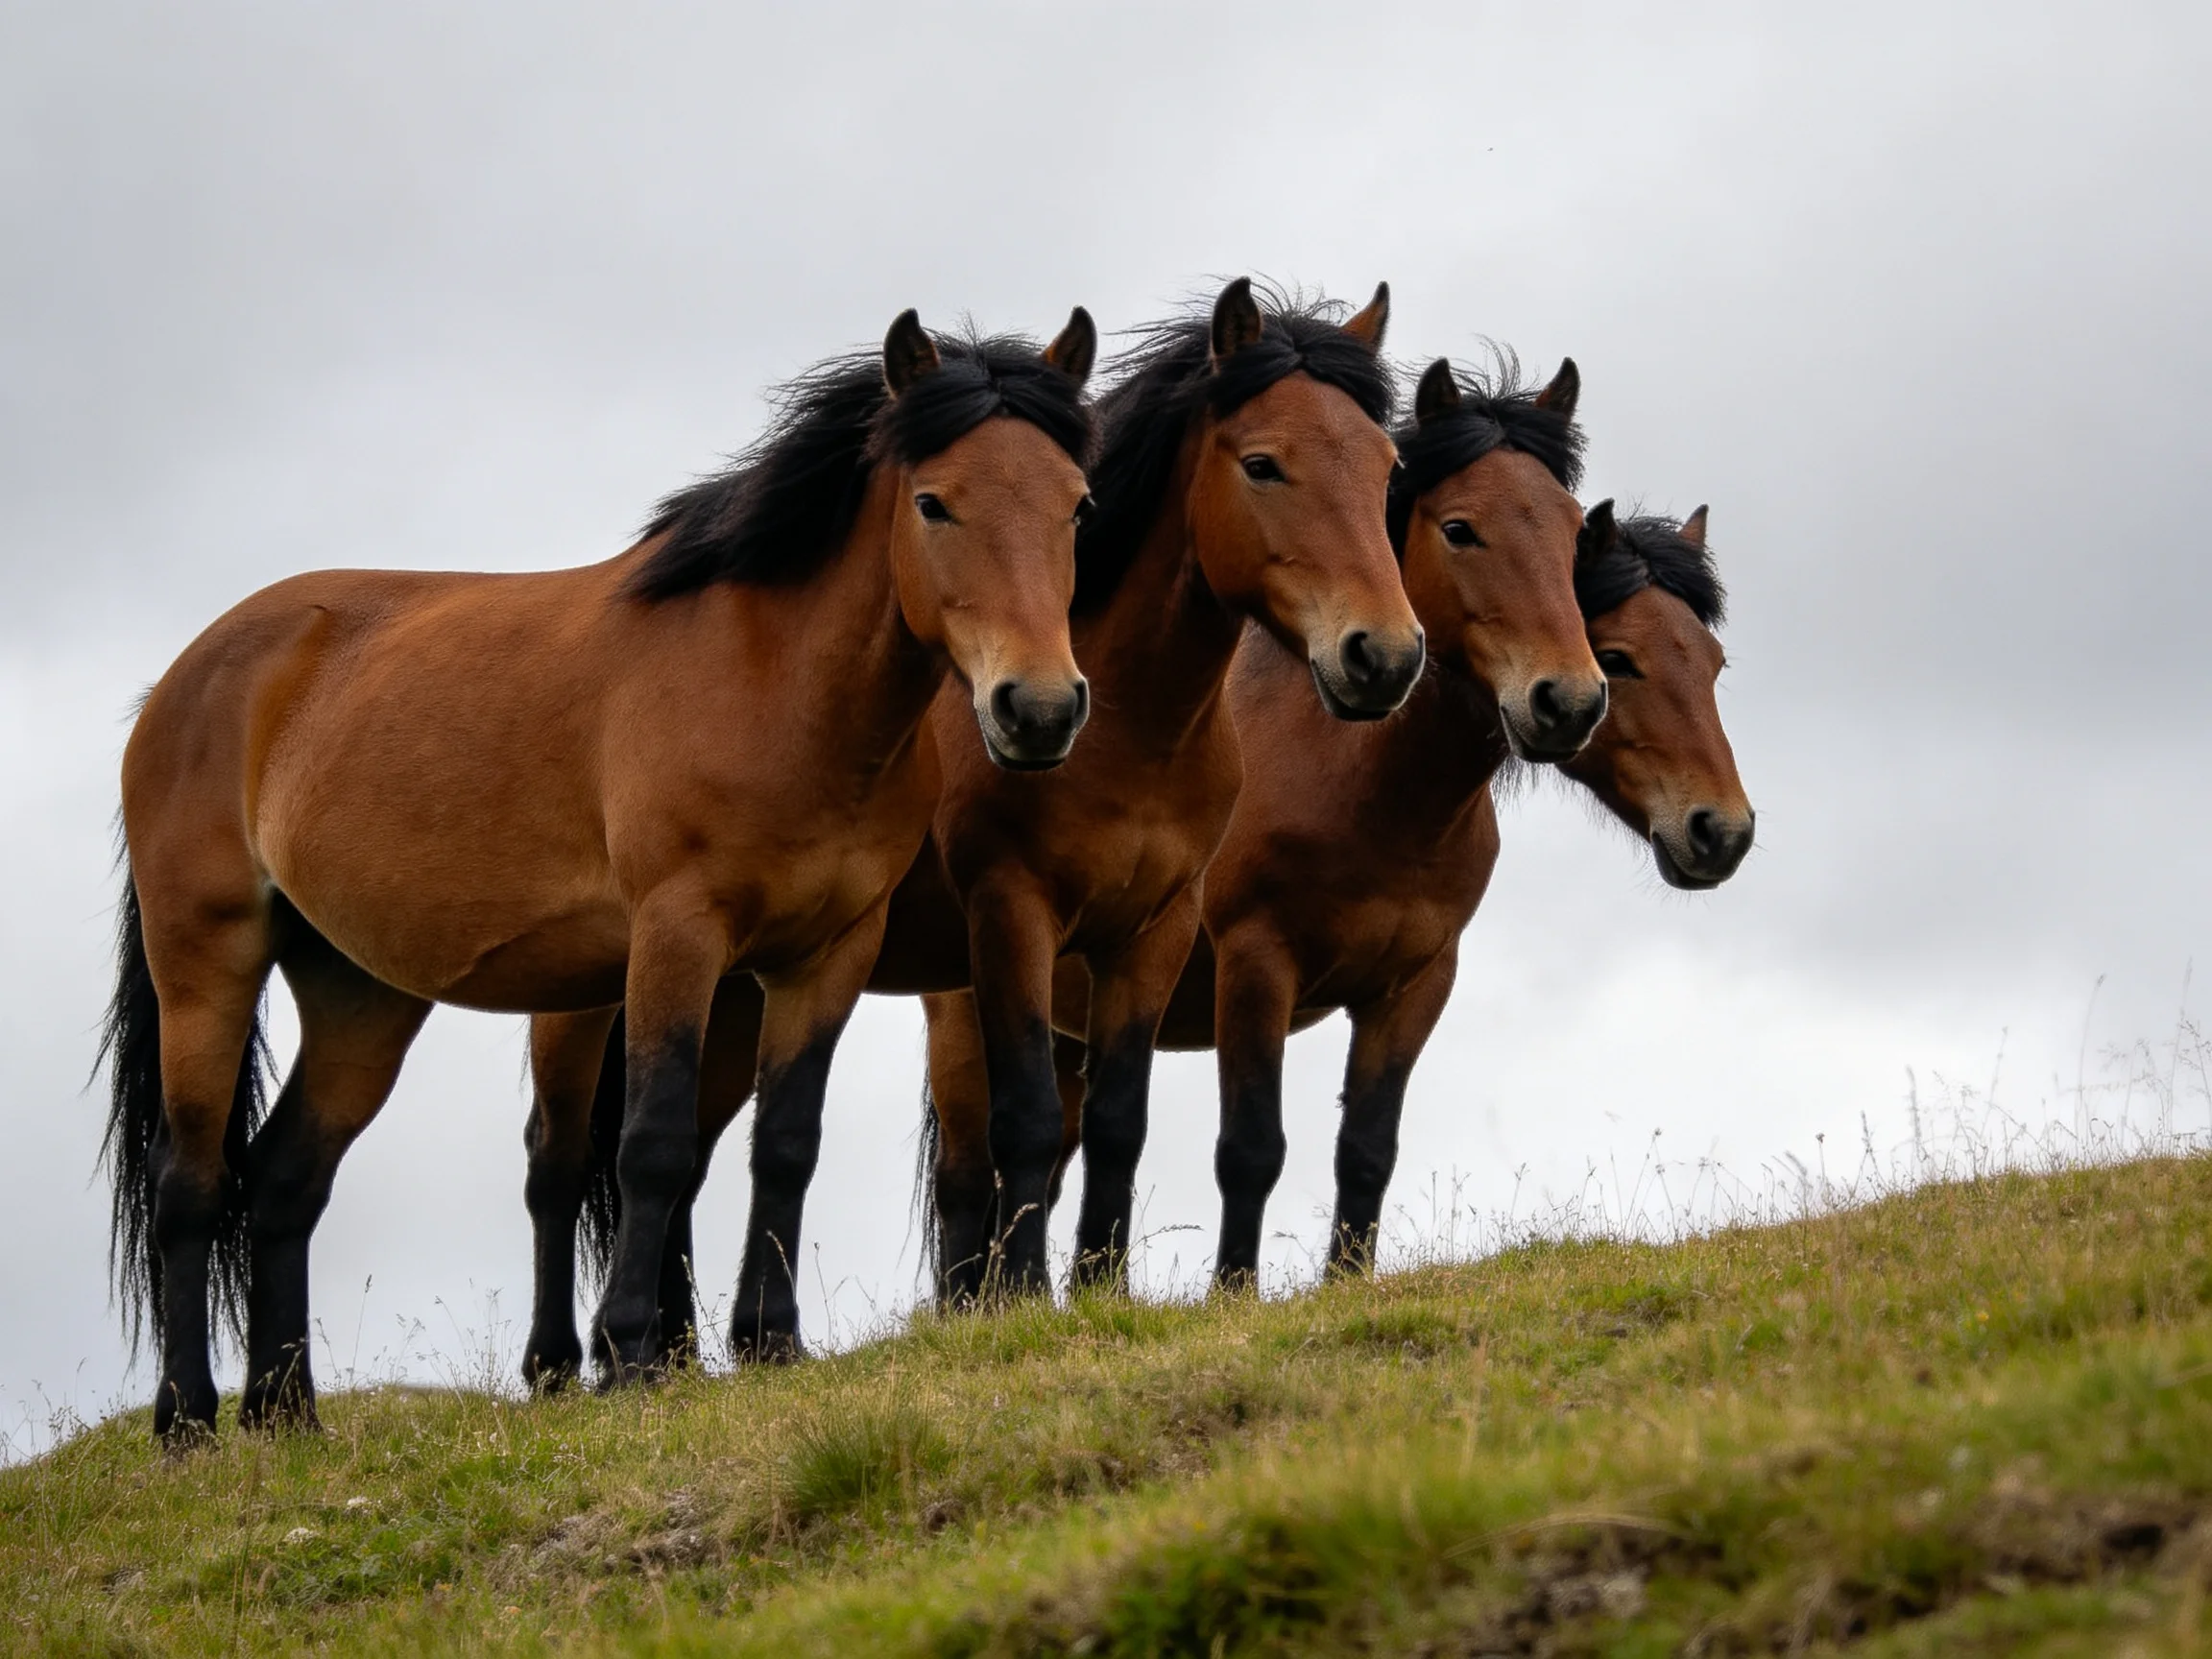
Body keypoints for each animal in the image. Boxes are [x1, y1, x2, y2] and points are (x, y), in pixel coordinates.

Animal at [98, 306, 1099, 1439]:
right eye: (934, 502)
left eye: (1076, 504)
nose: (1040, 709)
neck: (775, 683)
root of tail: (186, 677)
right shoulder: (677, 932)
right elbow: (650, 1142)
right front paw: (630, 1355)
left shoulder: (827, 955)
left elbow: (786, 1140)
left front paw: (771, 1343)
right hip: (206, 959)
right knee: (188, 1181)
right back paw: (186, 1422)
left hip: (361, 994)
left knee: (282, 1179)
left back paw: (287, 1415)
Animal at [523, 278, 1431, 1370]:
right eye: (1263, 463)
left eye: (1388, 470)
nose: (1383, 656)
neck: (1129, 724)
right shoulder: (1011, 915)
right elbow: (1028, 1123)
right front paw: (1030, 1300)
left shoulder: (1153, 929)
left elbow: (1116, 1124)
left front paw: (1102, 1296)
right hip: (594, 994)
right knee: (561, 1160)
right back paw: (568, 1364)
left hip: (735, 988)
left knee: (685, 1152)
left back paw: (671, 1356)